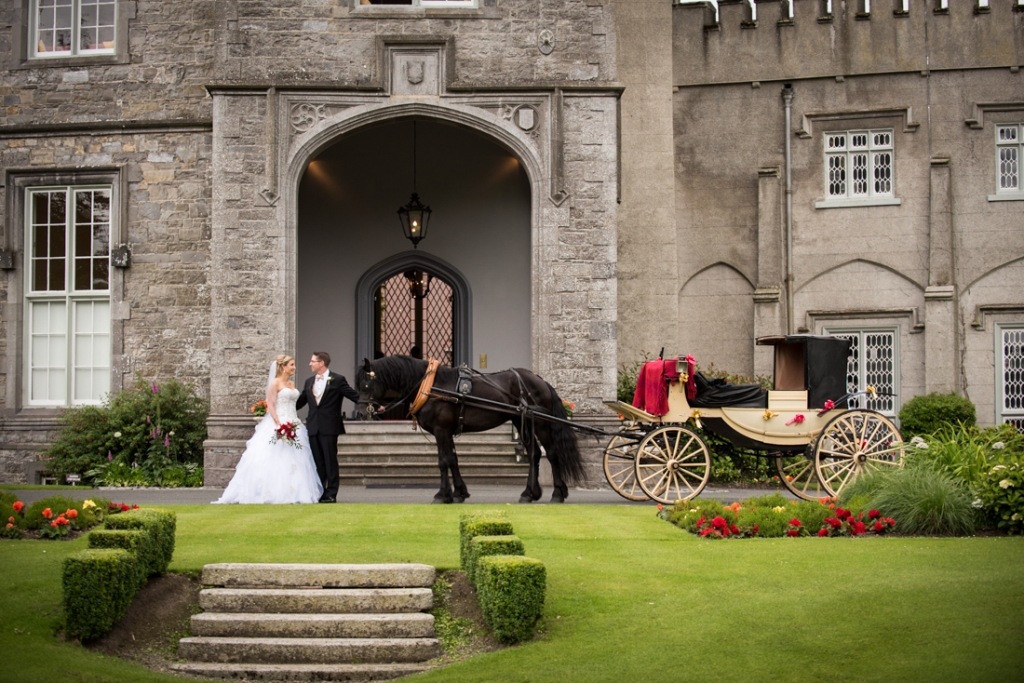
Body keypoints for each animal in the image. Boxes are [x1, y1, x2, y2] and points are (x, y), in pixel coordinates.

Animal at [358, 356, 585, 505]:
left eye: (366, 384)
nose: (361, 413)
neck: (432, 387)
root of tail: (541, 380)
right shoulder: (447, 431)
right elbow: (453, 460)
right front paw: (459, 492)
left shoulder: (441, 430)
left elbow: (443, 461)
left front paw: (442, 495)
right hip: (521, 421)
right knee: (534, 454)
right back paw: (529, 493)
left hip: (539, 423)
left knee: (552, 454)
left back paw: (557, 493)